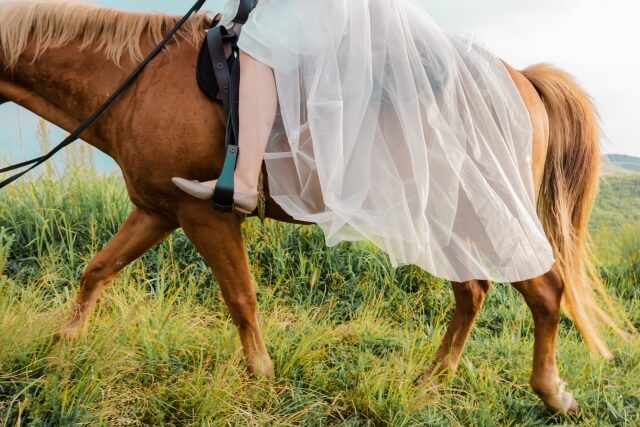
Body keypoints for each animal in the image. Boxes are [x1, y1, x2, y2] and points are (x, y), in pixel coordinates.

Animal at [0, 0, 632, 414]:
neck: (139, 80)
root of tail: (518, 78)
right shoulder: (159, 209)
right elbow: (97, 270)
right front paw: (61, 350)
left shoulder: (205, 214)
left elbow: (241, 298)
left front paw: (261, 378)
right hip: (446, 215)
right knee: (473, 290)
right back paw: (432, 381)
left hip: (481, 211)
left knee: (543, 290)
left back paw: (551, 391)